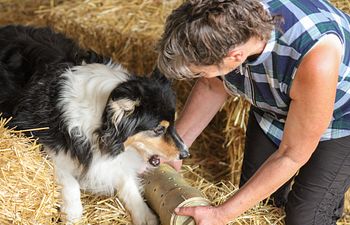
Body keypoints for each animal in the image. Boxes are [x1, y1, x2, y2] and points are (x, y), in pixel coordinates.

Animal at [0, 23, 190, 224]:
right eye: (159, 129)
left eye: (173, 123)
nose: (185, 153)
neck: (100, 117)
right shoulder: (35, 132)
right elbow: (68, 178)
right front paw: (72, 213)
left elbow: (126, 182)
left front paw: (145, 215)